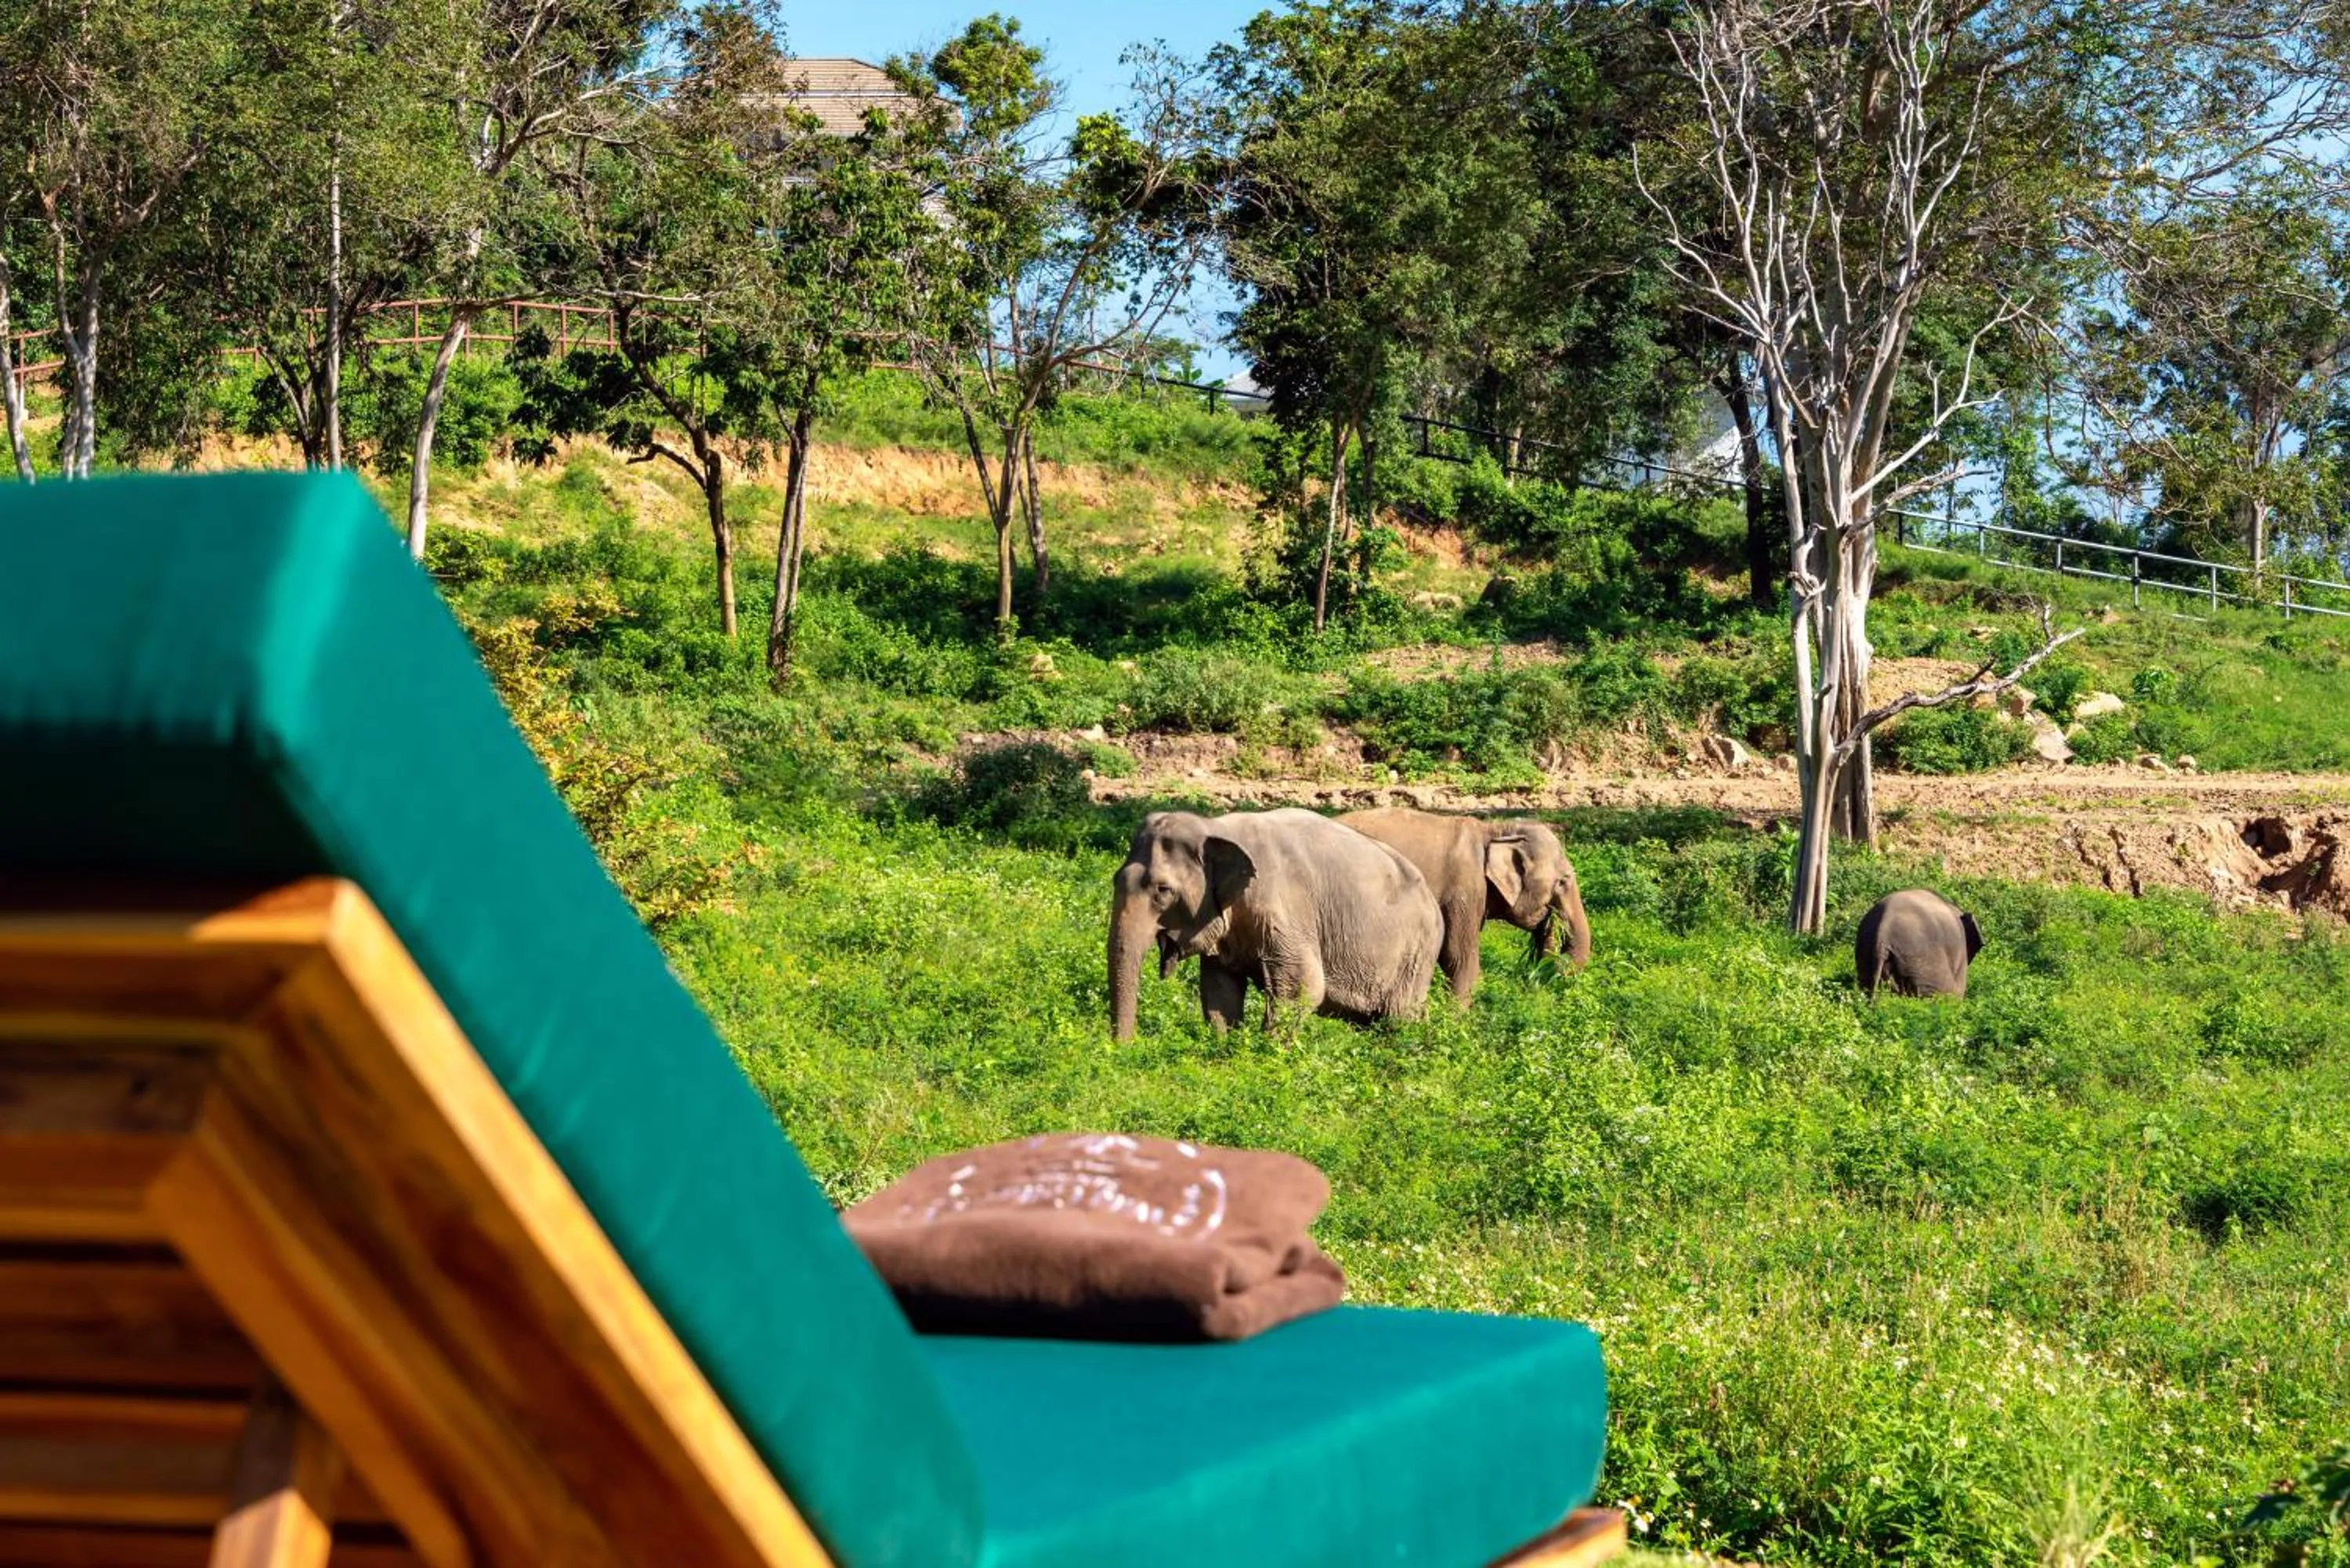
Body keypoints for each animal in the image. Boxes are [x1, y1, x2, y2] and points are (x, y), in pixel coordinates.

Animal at [1108, 808, 1443, 1041]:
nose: (1126, 1048)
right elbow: (1220, 991)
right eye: (1115, 879)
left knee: (1399, 1016)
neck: (1216, 826)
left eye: (1163, 890)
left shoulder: (1286, 908)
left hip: (1416, 954)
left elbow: (1303, 987)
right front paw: (1226, 1048)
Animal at [1338, 807, 1591, 1003]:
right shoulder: (1464, 890)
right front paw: (1458, 1017)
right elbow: (1458, 956)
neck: (1495, 830)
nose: (1554, 919)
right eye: (1562, 881)